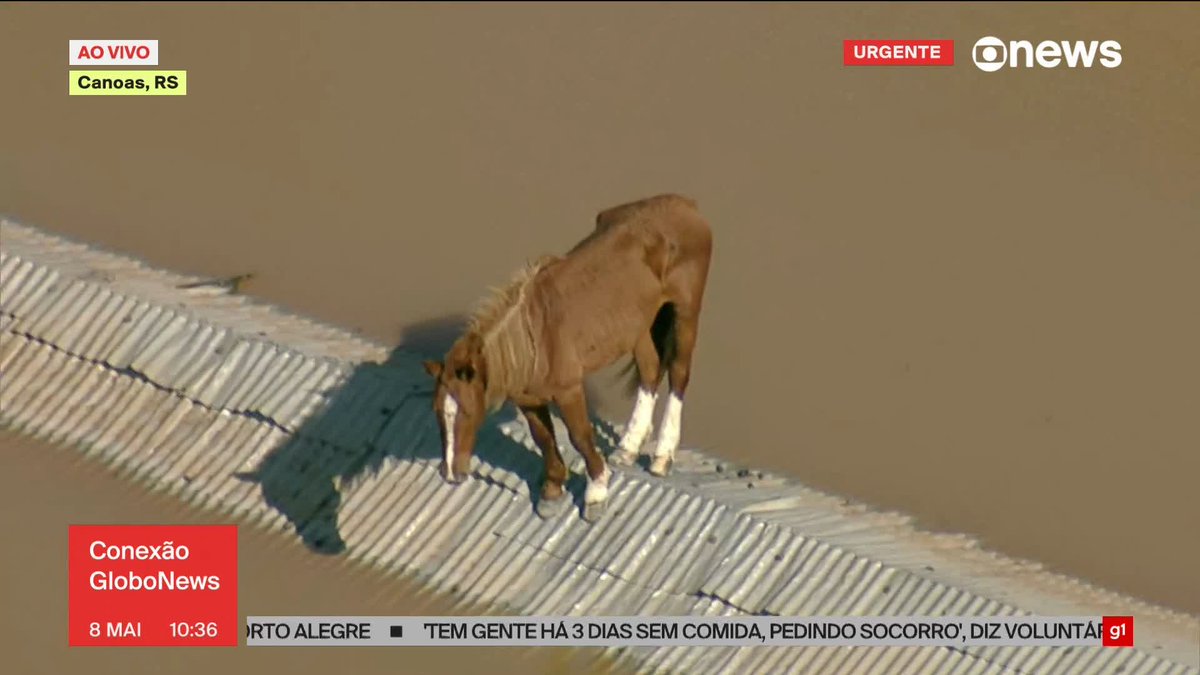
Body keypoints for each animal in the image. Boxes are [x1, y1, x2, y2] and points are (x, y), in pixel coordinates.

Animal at [422, 193, 713, 522]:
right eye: (437, 411)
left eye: (468, 412)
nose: (450, 474)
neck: (534, 339)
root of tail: (685, 204)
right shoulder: (528, 399)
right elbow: (543, 438)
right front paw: (552, 491)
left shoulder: (569, 390)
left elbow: (580, 436)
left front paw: (596, 492)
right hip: (638, 324)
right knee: (650, 371)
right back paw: (628, 446)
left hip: (685, 311)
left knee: (678, 374)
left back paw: (663, 456)